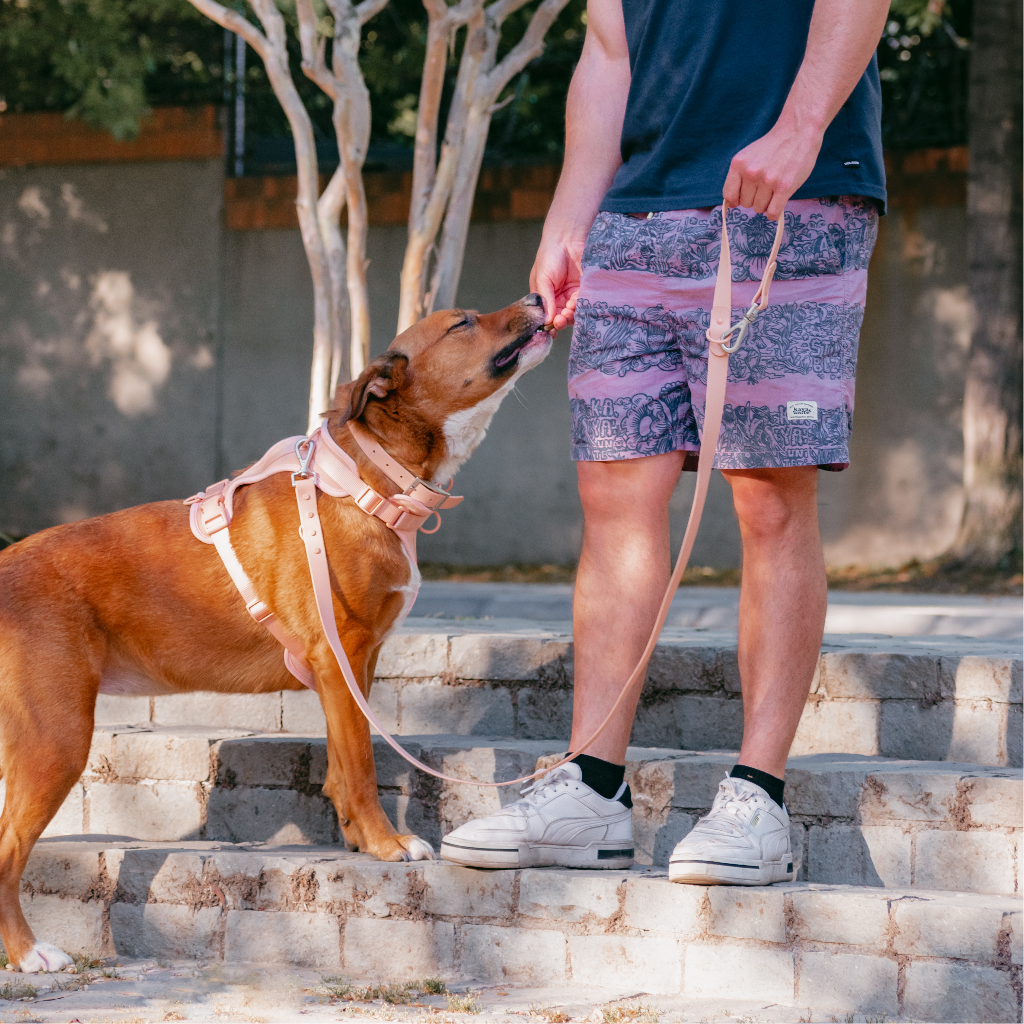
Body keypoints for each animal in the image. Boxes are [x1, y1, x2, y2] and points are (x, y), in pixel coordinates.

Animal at [0, 292, 552, 970]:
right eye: (462, 323)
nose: (537, 297)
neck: (368, 479)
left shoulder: (352, 667)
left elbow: (342, 764)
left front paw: (358, 839)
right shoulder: (342, 657)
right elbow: (362, 766)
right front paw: (387, 844)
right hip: (56, 737)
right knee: (7, 851)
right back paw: (29, 953)